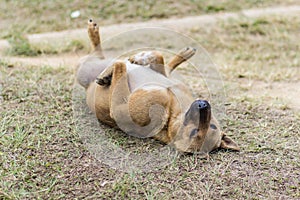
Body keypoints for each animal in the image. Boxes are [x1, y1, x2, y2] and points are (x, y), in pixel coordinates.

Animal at [77, 19, 239, 155]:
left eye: (195, 132)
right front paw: (138, 58)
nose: (203, 105)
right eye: (213, 126)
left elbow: (120, 66)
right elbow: (157, 55)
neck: (173, 111)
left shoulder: (118, 108)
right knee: (165, 65)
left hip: (83, 70)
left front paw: (110, 72)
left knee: (100, 56)